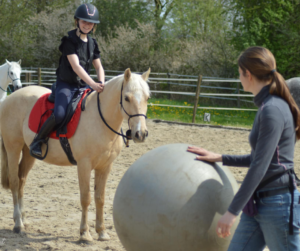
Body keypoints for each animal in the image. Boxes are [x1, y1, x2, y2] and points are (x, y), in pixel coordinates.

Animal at [0, 68, 150, 243]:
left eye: (147, 97)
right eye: (126, 98)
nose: (140, 134)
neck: (100, 119)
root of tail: (10, 99)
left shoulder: (105, 166)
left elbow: (100, 198)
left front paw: (102, 232)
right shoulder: (84, 165)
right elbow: (86, 198)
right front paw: (85, 234)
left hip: (29, 152)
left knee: (22, 181)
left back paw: (23, 219)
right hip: (13, 148)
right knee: (15, 183)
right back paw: (18, 224)